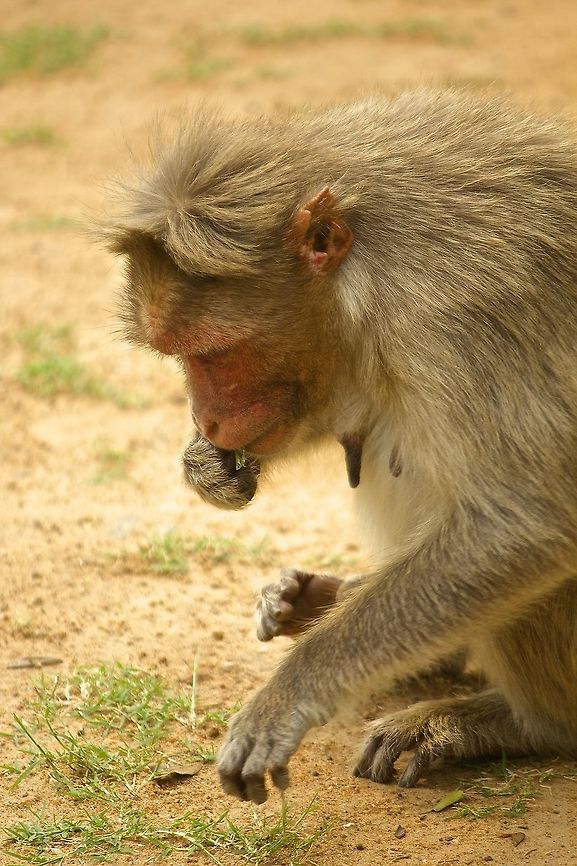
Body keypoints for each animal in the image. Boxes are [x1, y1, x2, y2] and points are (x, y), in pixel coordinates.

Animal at [101, 90, 577, 805]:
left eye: (216, 354)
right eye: (178, 355)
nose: (207, 419)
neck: (371, 268)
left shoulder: (457, 316)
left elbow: (524, 519)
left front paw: (291, 690)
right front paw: (205, 464)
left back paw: (524, 723)